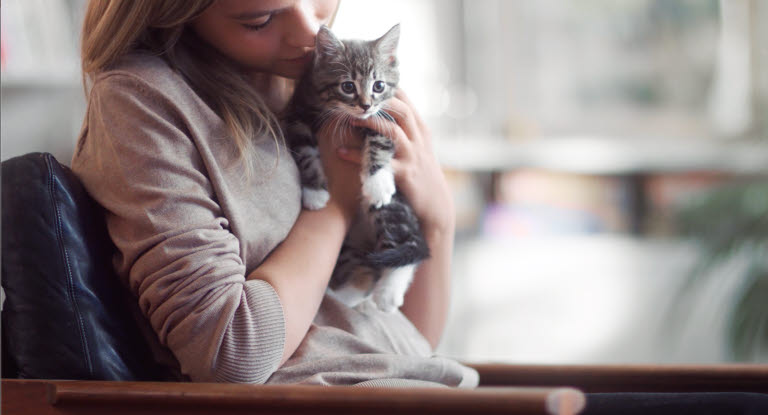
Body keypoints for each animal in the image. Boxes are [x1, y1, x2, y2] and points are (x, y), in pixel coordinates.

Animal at [282, 24, 428, 314]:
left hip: (395, 207)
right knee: (364, 268)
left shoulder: (389, 116)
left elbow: (379, 140)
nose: (365, 105)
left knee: (405, 242)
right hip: (350, 243)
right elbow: (303, 150)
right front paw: (314, 191)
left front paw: (377, 182)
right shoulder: (298, 112)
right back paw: (347, 296)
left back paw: (388, 293)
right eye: (347, 86)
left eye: (379, 85)